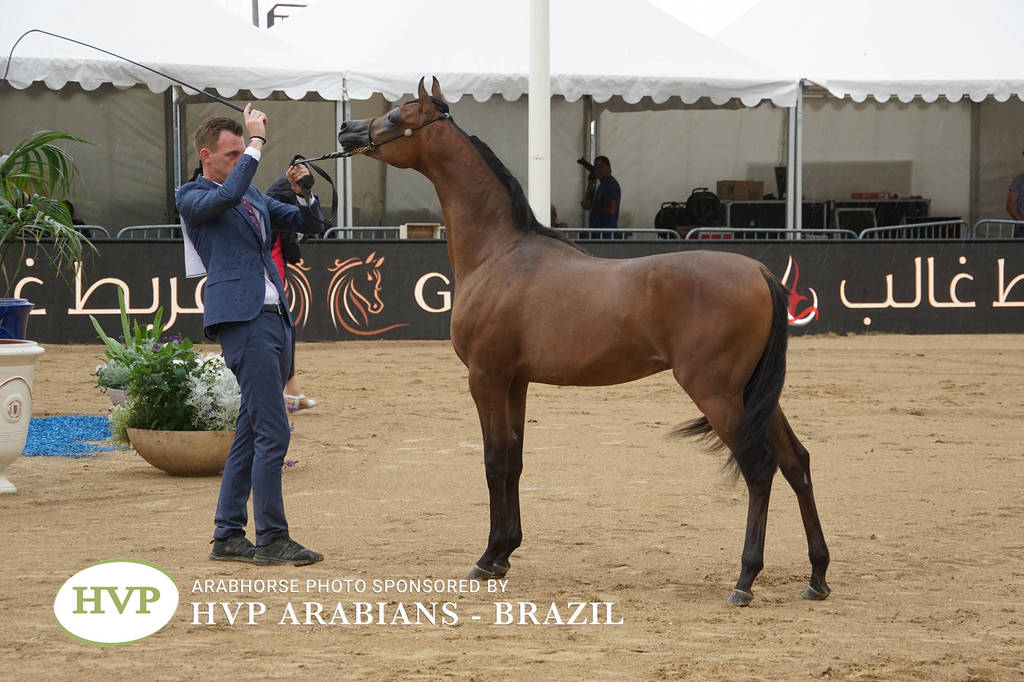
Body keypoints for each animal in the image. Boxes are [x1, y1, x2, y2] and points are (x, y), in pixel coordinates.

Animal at [338, 77, 830, 606]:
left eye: (395, 116)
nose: (346, 129)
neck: (499, 253)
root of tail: (758, 271)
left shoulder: (485, 379)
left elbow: (493, 462)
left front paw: (486, 559)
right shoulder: (515, 382)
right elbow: (514, 461)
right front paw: (504, 553)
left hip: (717, 393)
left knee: (759, 469)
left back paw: (744, 579)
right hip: (754, 393)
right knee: (797, 461)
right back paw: (817, 576)